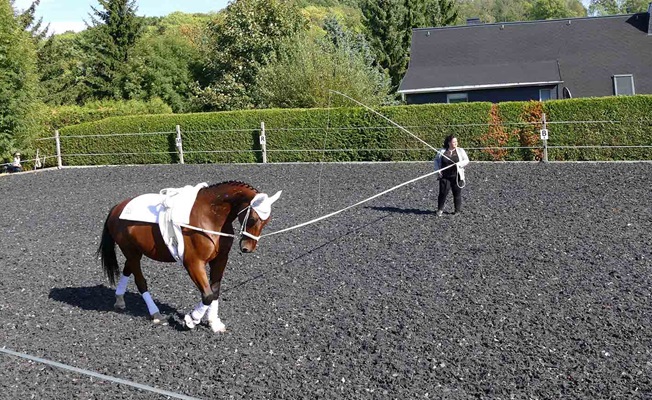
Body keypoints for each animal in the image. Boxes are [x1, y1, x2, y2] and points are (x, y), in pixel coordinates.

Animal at [96, 181, 281, 333]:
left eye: (267, 221)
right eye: (252, 219)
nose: (247, 248)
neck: (210, 216)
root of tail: (118, 207)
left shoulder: (220, 260)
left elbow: (215, 291)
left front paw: (214, 323)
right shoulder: (193, 263)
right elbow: (207, 295)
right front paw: (191, 320)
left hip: (135, 252)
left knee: (127, 269)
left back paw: (119, 300)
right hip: (132, 252)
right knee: (140, 281)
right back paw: (155, 314)